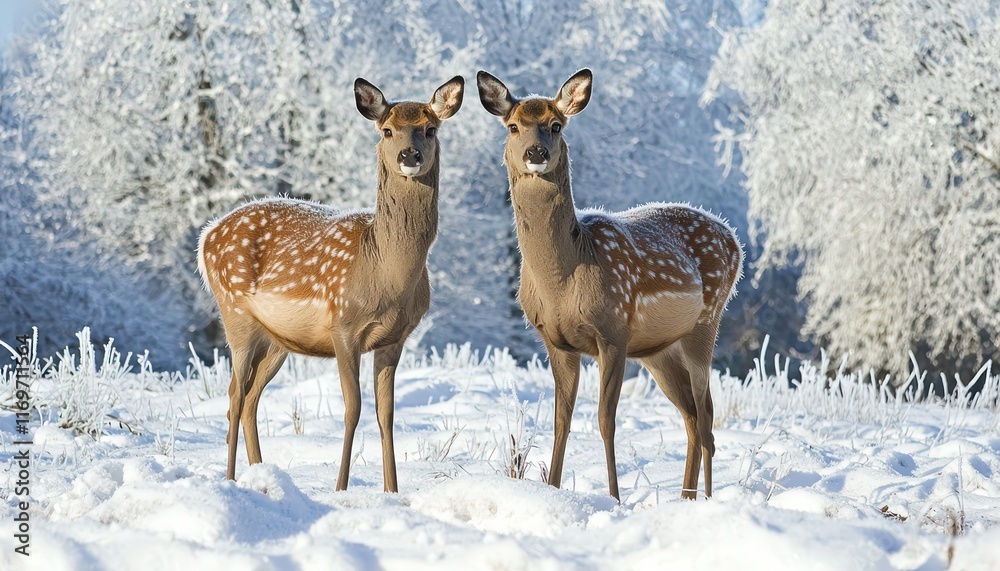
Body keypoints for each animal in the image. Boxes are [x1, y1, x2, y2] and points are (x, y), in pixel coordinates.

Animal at [197, 75, 465, 491]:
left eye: (430, 129)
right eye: (387, 130)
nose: (410, 156)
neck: (386, 273)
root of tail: (206, 237)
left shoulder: (395, 339)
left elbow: (386, 414)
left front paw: (392, 490)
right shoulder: (343, 325)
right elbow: (353, 408)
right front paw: (340, 487)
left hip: (276, 339)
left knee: (250, 397)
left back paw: (262, 474)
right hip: (234, 312)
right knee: (236, 395)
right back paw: (231, 480)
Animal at [477, 69, 743, 500]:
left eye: (556, 124)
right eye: (513, 125)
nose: (536, 153)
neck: (562, 282)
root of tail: (734, 238)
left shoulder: (613, 330)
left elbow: (605, 420)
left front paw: (615, 498)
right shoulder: (554, 340)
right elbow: (561, 421)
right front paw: (553, 489)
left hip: (706, 321)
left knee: (705, 417)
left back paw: (703, 499)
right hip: (657, 350)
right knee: (690, 414)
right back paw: (685, 497)